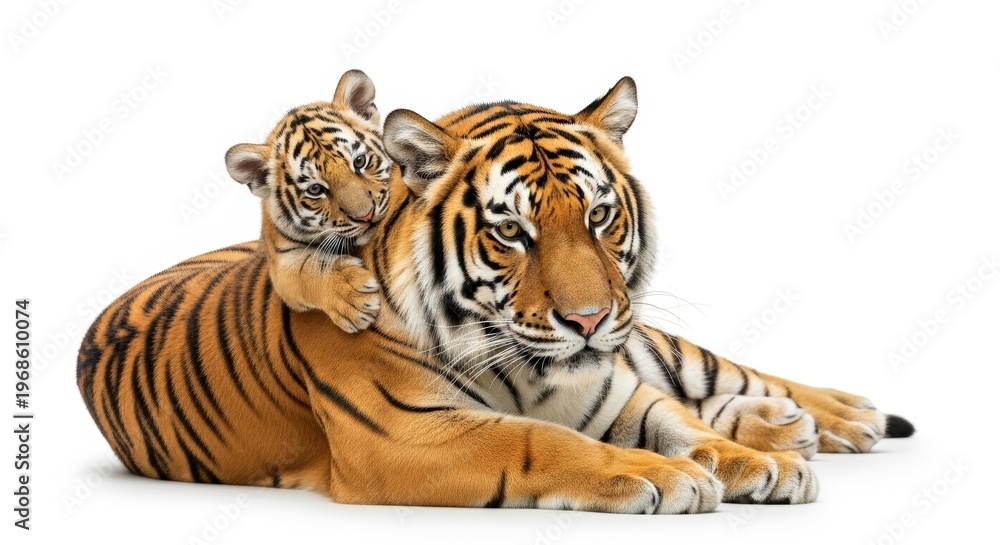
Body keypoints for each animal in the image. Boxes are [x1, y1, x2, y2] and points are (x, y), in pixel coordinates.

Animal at [224, 70, 392, 333]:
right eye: (315, 189)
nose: (366, 216)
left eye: (360, 162)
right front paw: (353, 297)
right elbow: (308, 269)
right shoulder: (281, 265)